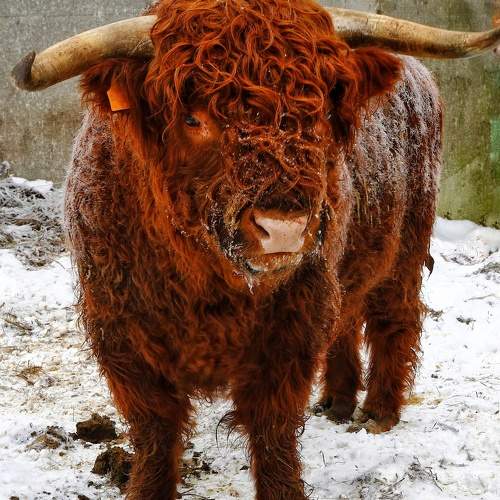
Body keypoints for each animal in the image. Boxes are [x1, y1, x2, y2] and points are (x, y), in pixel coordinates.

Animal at [12, 1, 500, 498]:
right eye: (192, 117)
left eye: (321, 112)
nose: (283, 229)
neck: (206, 282)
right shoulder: (120, 332)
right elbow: (155, 430)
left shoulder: (292, 323)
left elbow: (272, 430)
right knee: (346, 319)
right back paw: (338, 401)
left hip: (406, 245)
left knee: (394, 316)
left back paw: (378, 411)